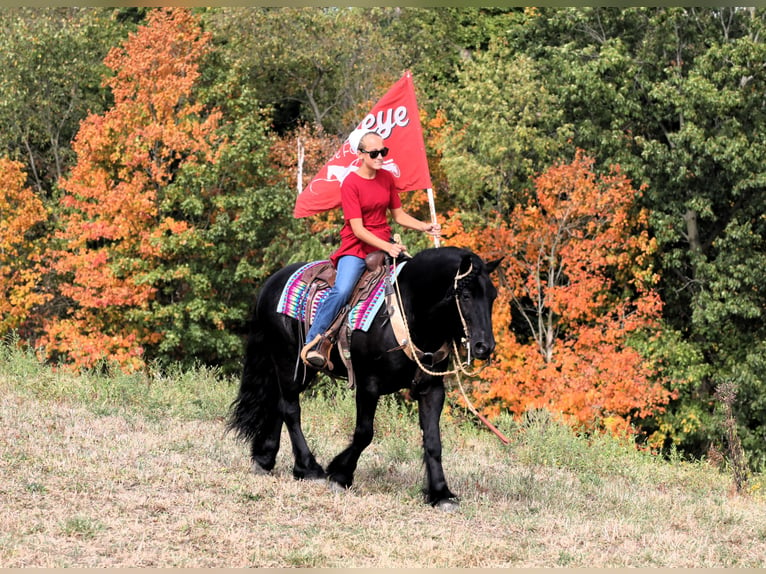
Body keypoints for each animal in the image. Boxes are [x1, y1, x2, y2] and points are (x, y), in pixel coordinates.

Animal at [228, 245, 504, 510]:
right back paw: (309, 468)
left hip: (299, 368)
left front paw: (441, 494)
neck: (409, 312)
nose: (484, 346)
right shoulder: (368, 385)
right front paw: (340, 474)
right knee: (290, 410)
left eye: (492, 296)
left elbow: (434, 442)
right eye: (466, 296)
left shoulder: (432, 389)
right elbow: (364, 433)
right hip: (287, 361)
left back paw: (265, 459)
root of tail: (271, 282)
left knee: (278, 404)